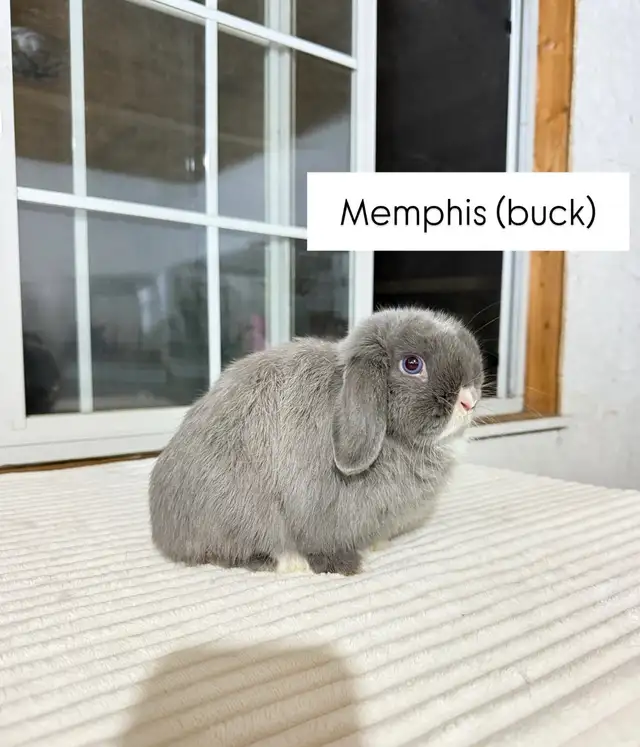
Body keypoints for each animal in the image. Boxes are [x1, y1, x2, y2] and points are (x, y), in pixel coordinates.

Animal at [148, 306, 484, 576]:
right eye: (412, 364)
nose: (469, 400)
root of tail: (164, 532)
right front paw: (346, 566)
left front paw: (378, 544)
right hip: (239, 513)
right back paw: (288, 563)